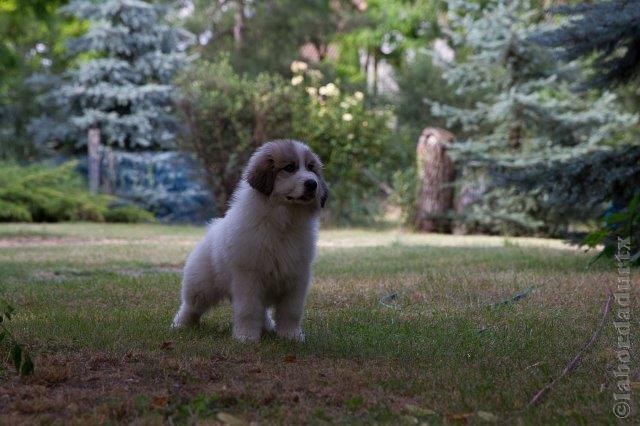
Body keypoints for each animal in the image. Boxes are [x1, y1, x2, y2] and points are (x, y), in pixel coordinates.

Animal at [171, 140, 328, 342]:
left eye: (311, 168)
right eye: (289, 168)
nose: (312, 184)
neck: (282, 221)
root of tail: (212, 228)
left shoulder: (297, 277)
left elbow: (291, 311)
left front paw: (291, 336)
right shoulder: (249, 277)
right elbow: (248, 309)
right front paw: (246, 338)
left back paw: (267, 327)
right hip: (201, 283)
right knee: (191, 305)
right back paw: (180, 325)